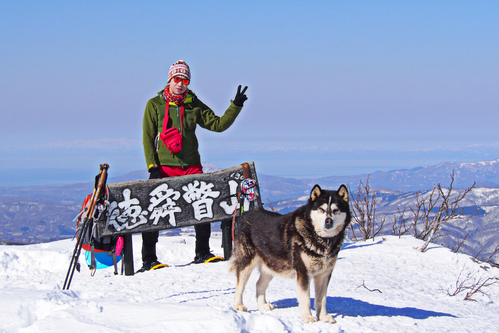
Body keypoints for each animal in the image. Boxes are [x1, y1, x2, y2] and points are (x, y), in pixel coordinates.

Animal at [230, 183, 352, 322]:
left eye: (336, 210)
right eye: (321, 209)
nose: (328, 221)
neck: (321, 238)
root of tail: (246, 214)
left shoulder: (324, 275)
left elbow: (322, 299)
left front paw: (324, 317)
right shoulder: (303, 273)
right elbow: (306, 298)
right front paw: (308, 318)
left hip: (272, 264)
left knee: (259, 284)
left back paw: (263, 305)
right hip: (247, 262)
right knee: (240, 285)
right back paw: (238, 305)